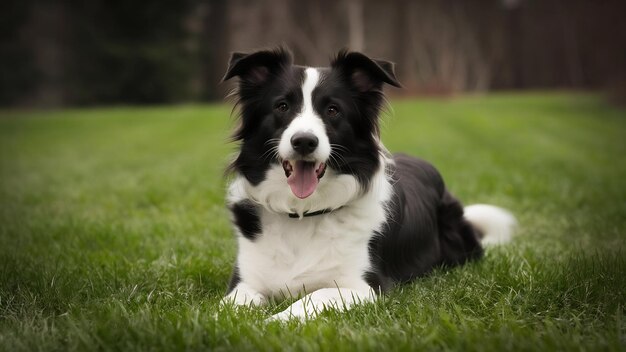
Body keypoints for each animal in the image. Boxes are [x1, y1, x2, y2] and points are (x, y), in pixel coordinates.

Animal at [219, 48, 512, 320]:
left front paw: (274, 322)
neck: (303, 212)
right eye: (282, 106)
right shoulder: (245, 281)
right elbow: (228, 307)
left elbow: (313, 296)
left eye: (333, 110)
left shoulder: (365, 287)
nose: (304, 141)